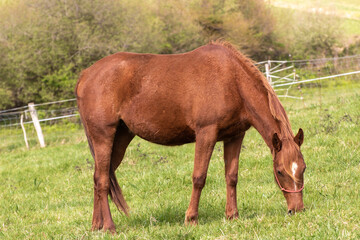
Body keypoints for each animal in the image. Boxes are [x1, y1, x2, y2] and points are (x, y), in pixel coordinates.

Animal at [76, 40, 306, 232]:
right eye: (280, 171)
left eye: (303, 168)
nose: (297, 210)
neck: (231, 79)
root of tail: (85, 75)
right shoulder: (206, 133)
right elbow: (199, 177)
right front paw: (191, 219)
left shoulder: (234, 136)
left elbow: (232, 177)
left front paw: (233, 216)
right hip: (103, 136)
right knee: (103, 180)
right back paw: (109, 227)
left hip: (121, 138)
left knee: (99, 177)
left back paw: (96, 225)